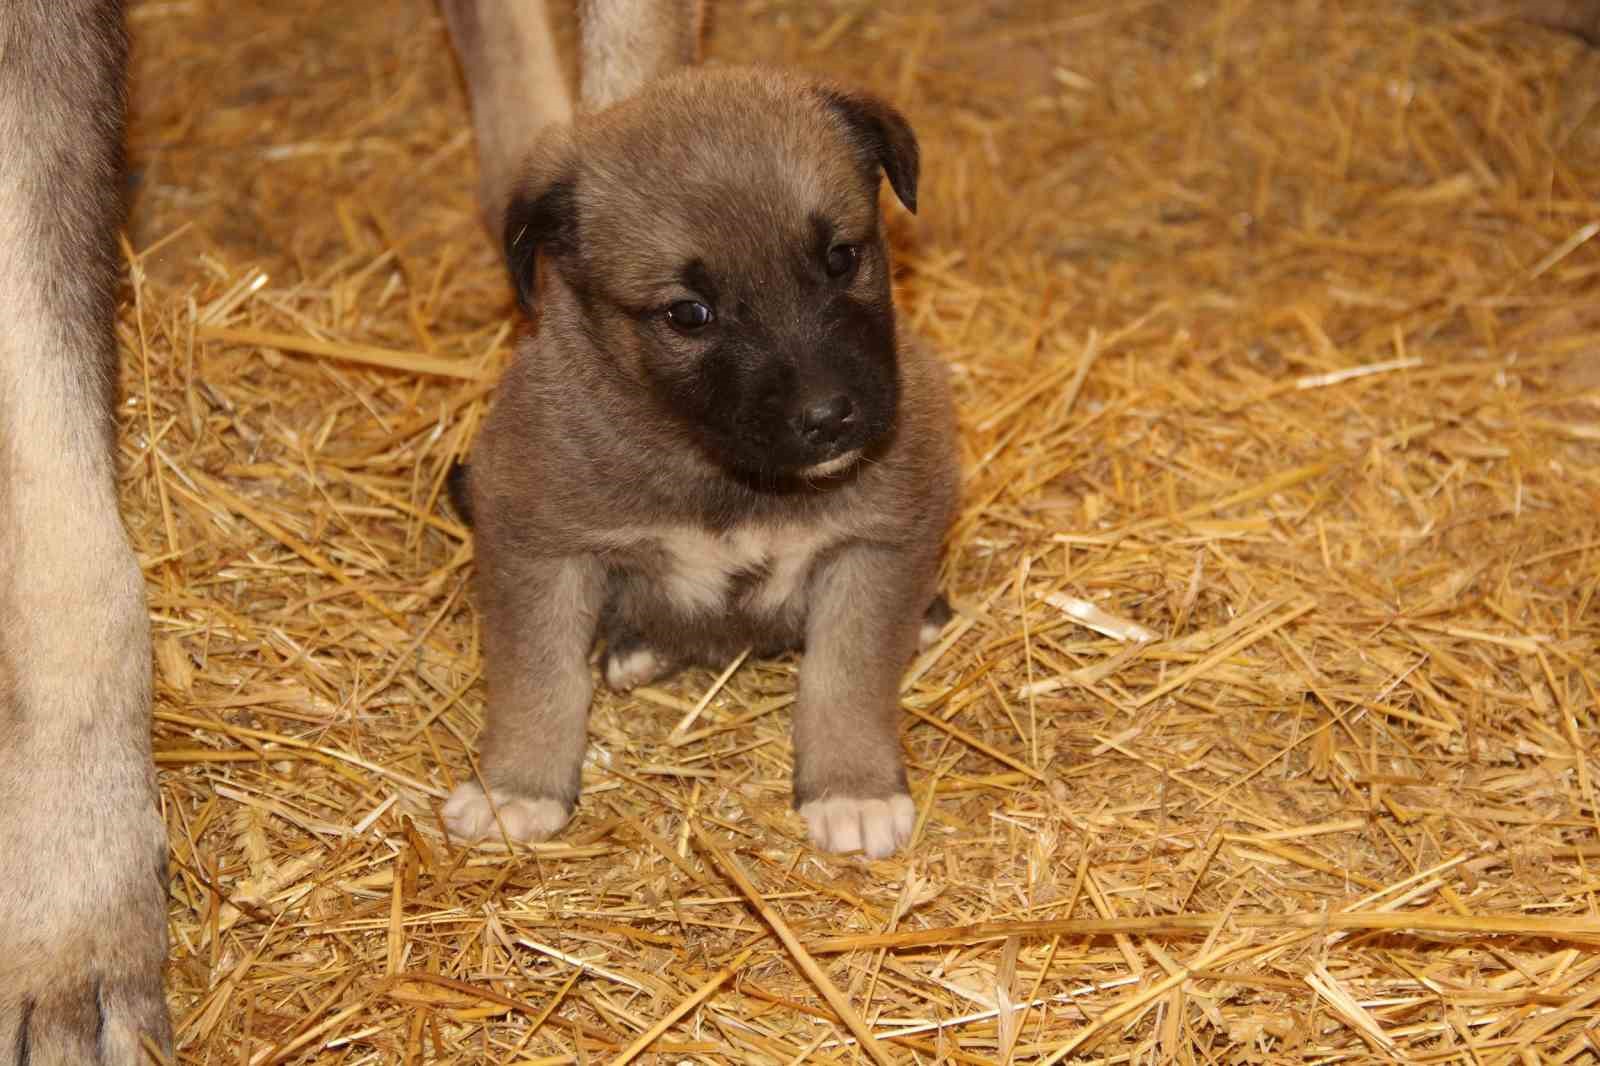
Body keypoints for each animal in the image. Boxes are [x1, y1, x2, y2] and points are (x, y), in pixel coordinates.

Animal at [444, 68, 953, 857]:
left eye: (841, 258)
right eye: (688, 313)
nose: (830, 416)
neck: (721, 472)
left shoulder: (878, 540)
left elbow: (845, 676)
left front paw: (853, 788)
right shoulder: (536, 541)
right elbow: (538, 676)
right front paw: (518, 786)